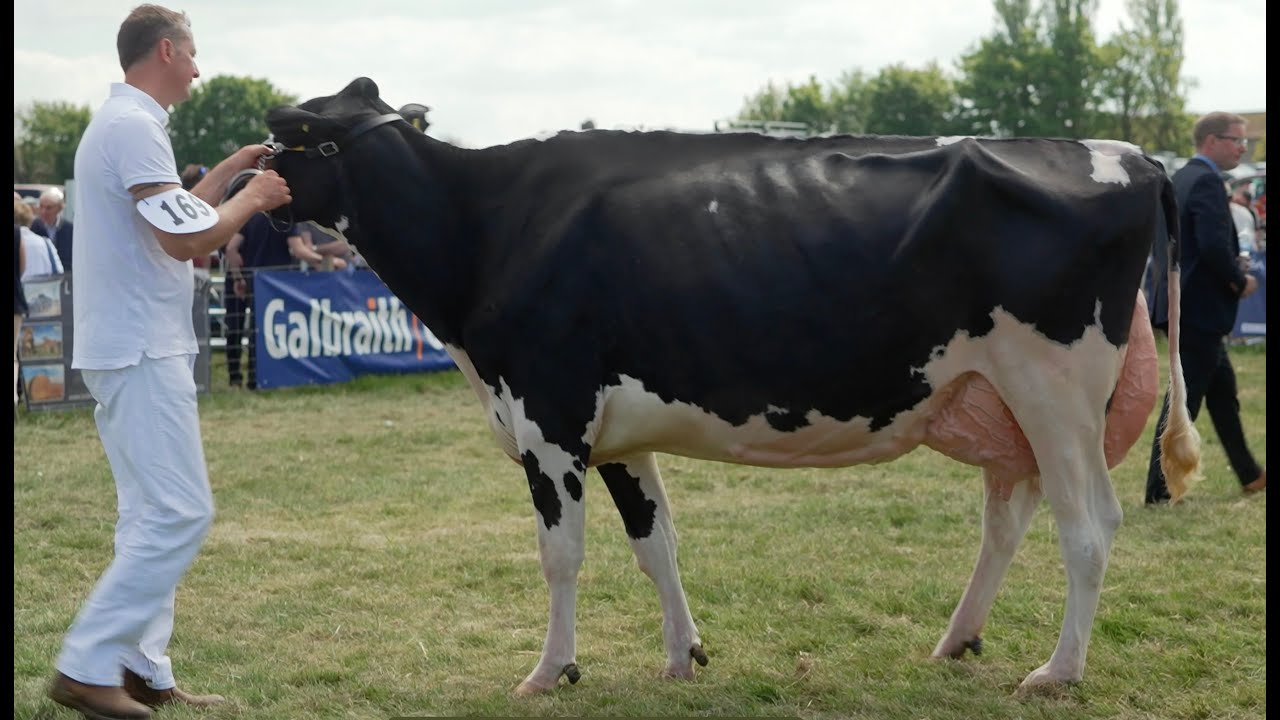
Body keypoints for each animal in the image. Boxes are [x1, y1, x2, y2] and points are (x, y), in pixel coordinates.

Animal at [260, 77, 1201, 694]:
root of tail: (1130, 154)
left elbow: (561, 555)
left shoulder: (547, 420)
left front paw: (550, 669)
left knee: (1089, 528)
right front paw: (684, 655)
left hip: (1056, 390)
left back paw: (1058, 671)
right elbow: (656, 544)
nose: (248, 180)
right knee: (1008, 517)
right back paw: (957, 640)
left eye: (294, 136)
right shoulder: (617, 433)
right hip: (994, 395)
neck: (485, 229)